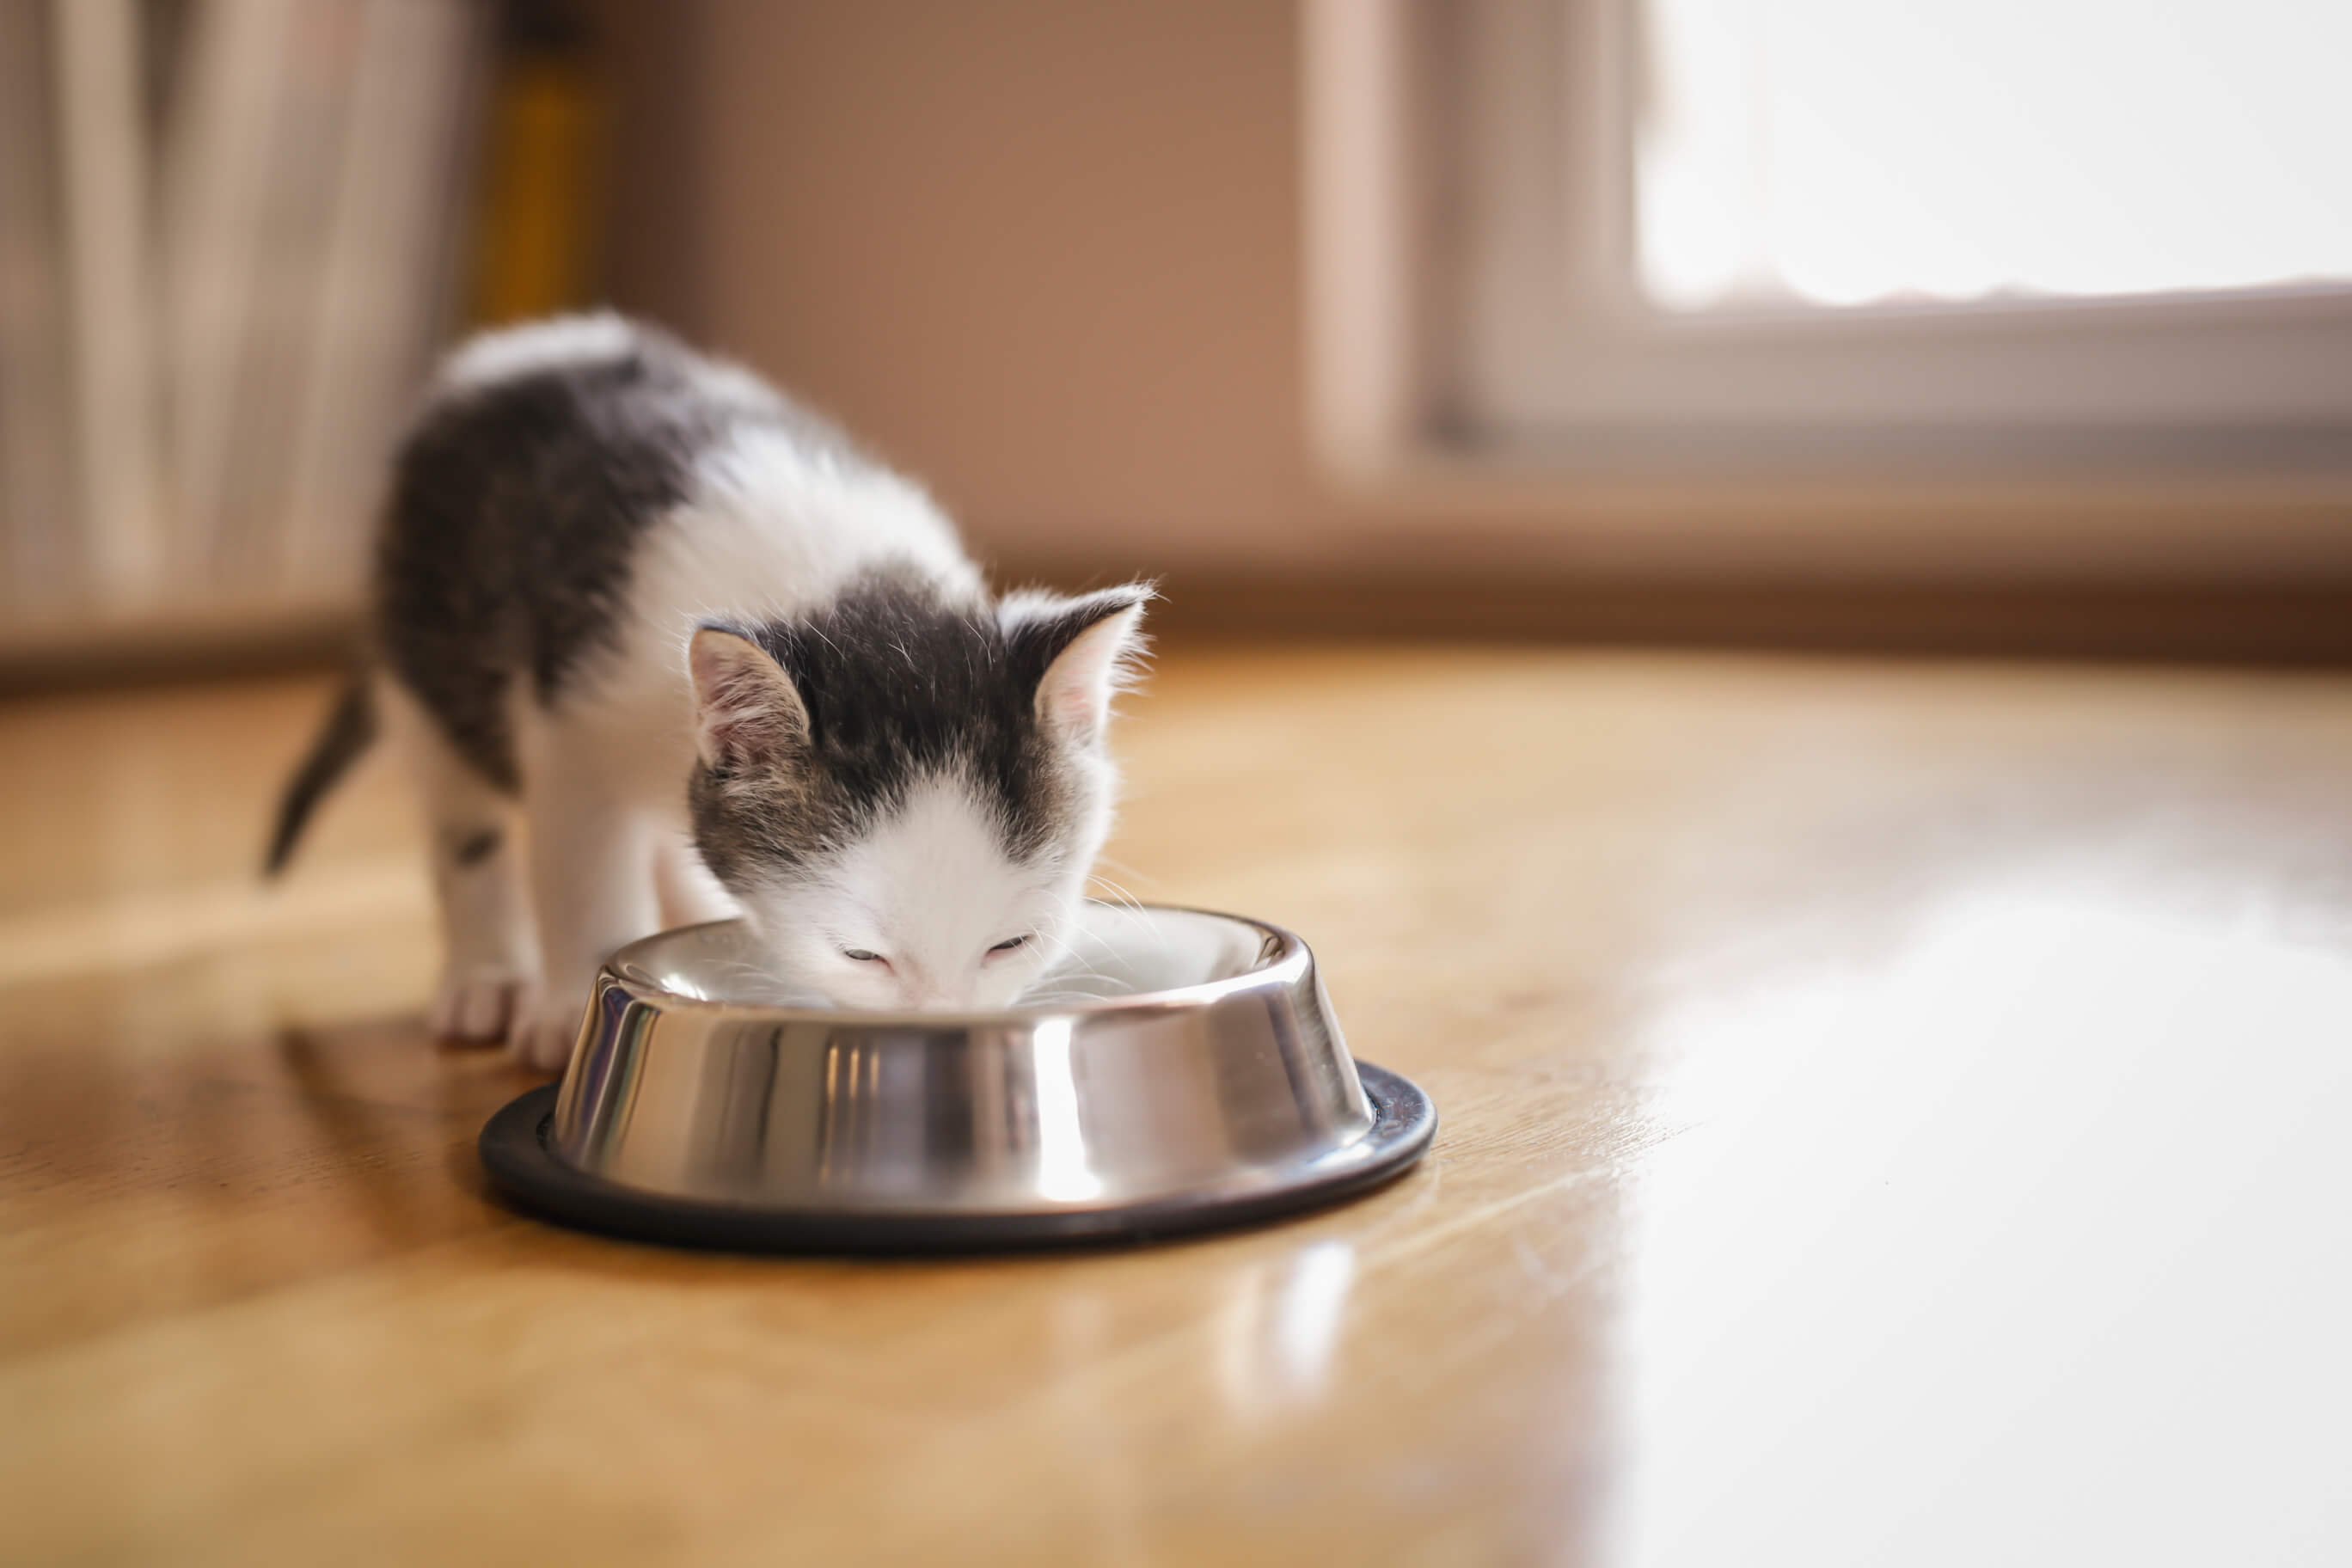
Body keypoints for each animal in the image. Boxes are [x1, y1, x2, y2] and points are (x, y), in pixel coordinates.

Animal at [266, 312, 1148, 1071]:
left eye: (1011, 944)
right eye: (861, 956)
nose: (945, 1028)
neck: (834, 586)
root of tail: (518, 347)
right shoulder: (570, 725)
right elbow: (583, 872)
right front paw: (571, 1009)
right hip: (425, 649)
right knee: (462, 819)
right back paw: (486, 976)